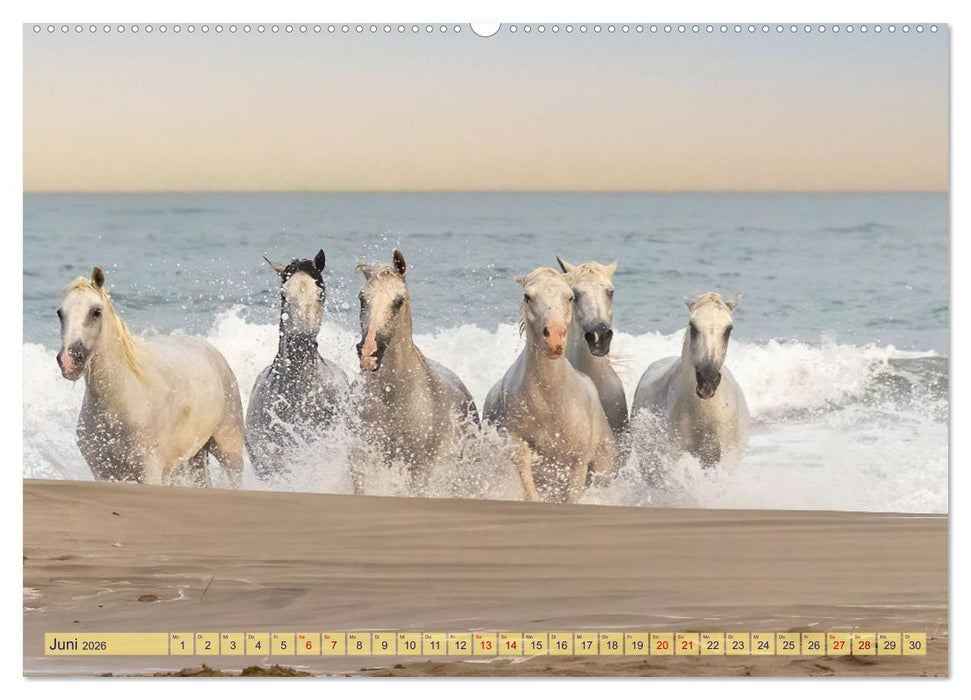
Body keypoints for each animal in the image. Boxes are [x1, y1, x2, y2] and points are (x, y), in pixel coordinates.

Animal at [56, 267, 245, 487]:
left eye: (96, 312)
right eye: (60, 313)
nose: (69, 360)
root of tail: (212, 351)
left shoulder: (149, 470)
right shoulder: (102, 471)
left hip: (229, 450)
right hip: (194, 456)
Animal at [354, 250, 479, 493]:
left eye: (399, 301)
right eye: (362, 298)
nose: (368, 354)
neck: (395, 395)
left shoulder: (419, 467)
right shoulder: (364, 457)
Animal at [483, 268, 615, 503]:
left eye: (570, 297)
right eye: (527, 297)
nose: (554, 337)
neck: (550, 400)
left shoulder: (578, 461)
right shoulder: (518, 445)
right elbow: (529, 487)